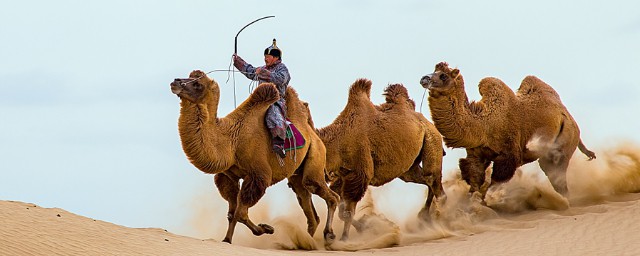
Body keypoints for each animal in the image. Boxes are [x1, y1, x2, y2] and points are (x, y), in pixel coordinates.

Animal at [170, 70, 340, 244]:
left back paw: (328, 234)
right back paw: (306, 242)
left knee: (325, 192)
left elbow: (240, 213)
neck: (232, 141)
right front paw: (227, 239)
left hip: (316, 155)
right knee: (308, 204)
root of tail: (313, 134)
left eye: (197, 84)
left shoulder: (258, 175)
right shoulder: (228, 177)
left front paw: (267, 228)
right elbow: (232, 213)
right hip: (297, 174)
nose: (175, 82)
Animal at [316, 79, 444, 241]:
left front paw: (344, 238)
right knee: (427, 180)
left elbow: (347, 211)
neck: (340, 141)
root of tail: (426, 121)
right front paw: (367, 226)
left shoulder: (360, 174)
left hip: (432, 140)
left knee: (434, 181)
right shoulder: (344, 175)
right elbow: (341, 208)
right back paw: (424, 217)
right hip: (408, 169)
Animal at [420, 61, 596, 202]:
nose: (424, 79)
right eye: (434, 70)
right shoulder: (476, 153)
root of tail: (571, 120)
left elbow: (494, 182)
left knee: (558, 175)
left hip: (564, 145)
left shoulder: (509, 154)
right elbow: (474, 178)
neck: (484, 124)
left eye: (443, 76)